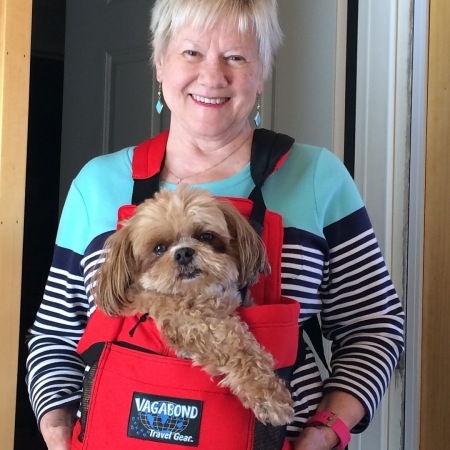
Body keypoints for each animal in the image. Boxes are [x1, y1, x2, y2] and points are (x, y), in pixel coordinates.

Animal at [95, 185, 296, 426]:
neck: (200, 293)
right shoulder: (191, 322)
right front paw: (270, 397)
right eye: (159, 248)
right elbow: (238, 346)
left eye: (206, 236)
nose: (183, 253)